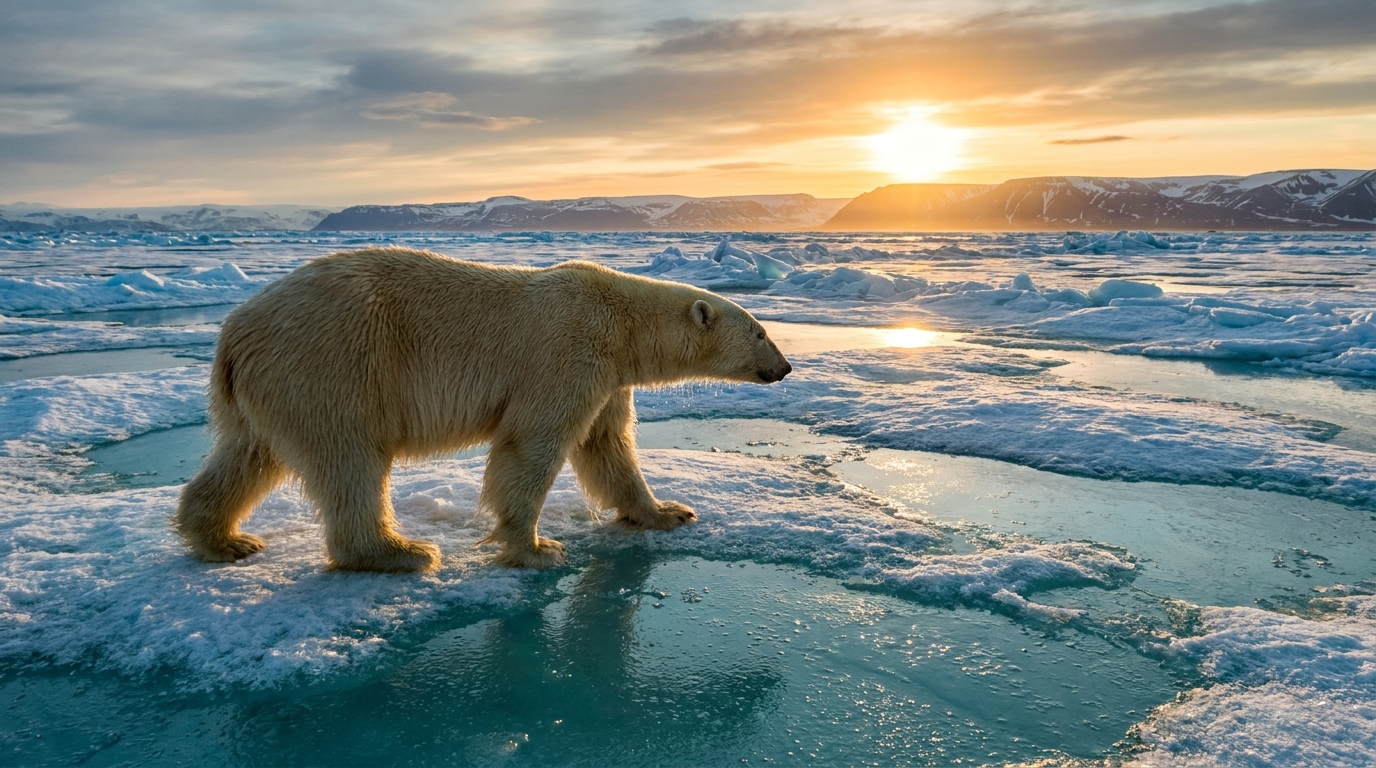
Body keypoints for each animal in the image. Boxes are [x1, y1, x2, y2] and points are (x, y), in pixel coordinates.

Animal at [175, 247, 792, 572]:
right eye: (761, 332)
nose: (785, 367)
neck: (620, 319)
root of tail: (233, 331)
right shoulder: (570, 353)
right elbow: (534, 444)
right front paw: (536, 547)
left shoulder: (609, 376)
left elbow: (607, 447)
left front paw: (668, 512)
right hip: (333, 365)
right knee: (349, 460)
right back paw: (401, 551)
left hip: (272, 388)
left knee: (248, 454)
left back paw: (224, 538)